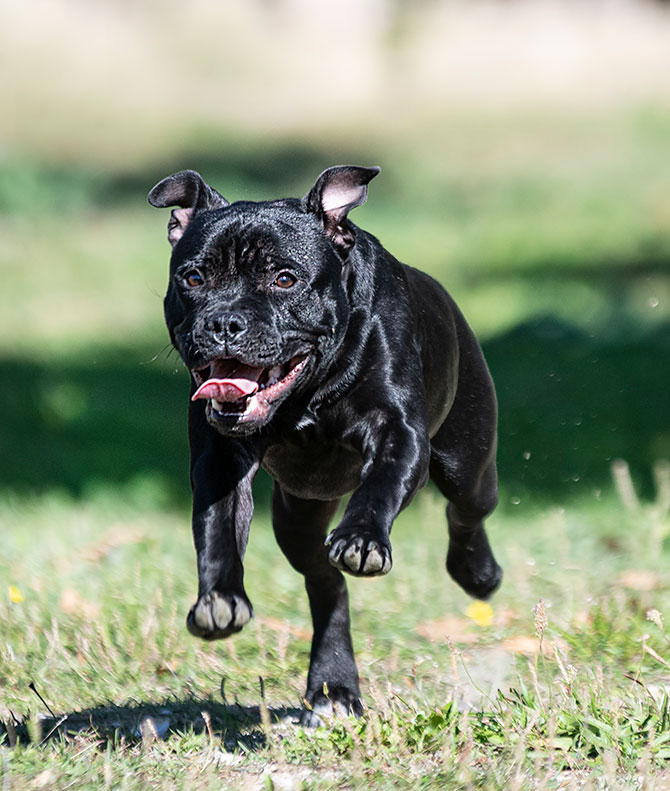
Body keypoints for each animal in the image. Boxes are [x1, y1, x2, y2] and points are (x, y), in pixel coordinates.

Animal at [148, 166, 504, 724]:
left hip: (467, 461)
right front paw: (220, 598)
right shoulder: (220, 460)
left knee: (466, 509)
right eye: (194, 278)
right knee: (325, 583)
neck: (308, 394)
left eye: (285, 279)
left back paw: (477, 573)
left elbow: (381, 485)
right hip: (297, 517)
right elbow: (216, 530)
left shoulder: (399, 432)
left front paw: (361, 538)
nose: (224, 322)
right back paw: (334, 686)